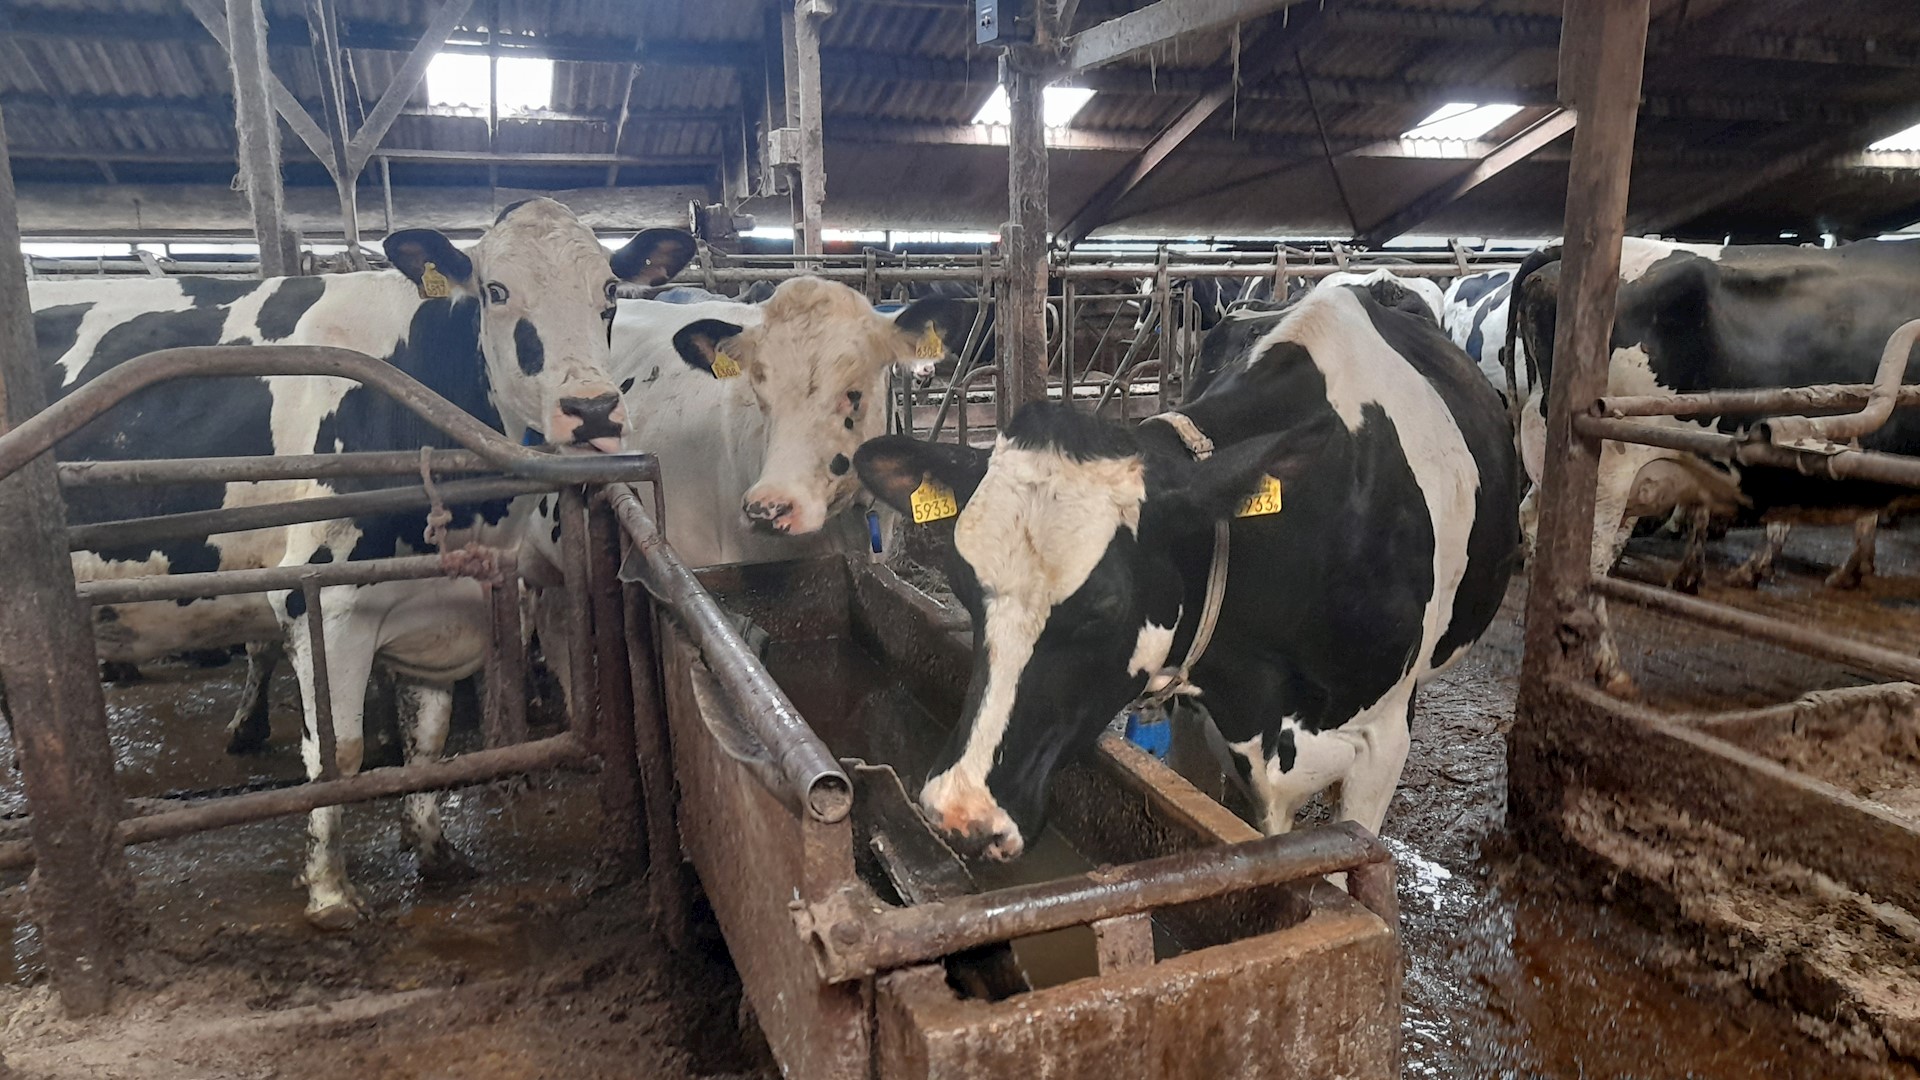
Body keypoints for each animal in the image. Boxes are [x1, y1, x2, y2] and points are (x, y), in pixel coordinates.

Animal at [30, 197, 696, 928]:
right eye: (495, 291)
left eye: (610, 291)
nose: (594, 410)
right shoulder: (320, 599)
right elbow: (336, 757)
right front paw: (329, 892)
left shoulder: (439, 607)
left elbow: (428, 741)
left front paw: (434, 850)